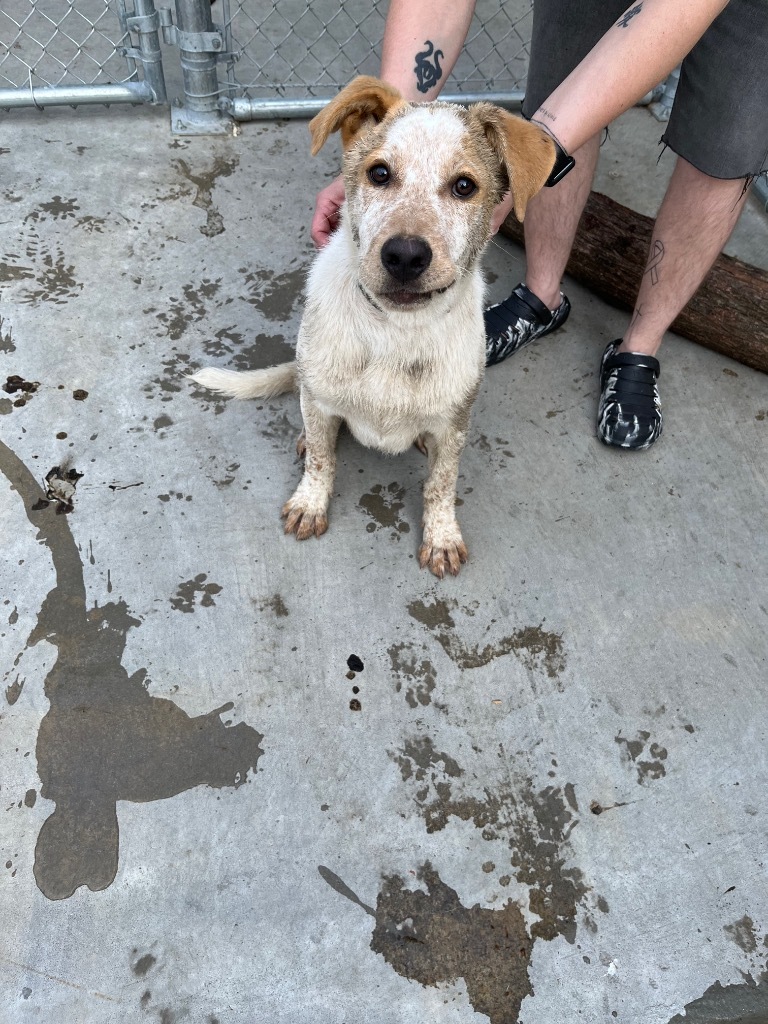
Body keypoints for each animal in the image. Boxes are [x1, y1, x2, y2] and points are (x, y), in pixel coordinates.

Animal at [190, 74, 557, 577]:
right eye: (380, 174)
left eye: (465, 186)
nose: (404, 255)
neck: (394, 330)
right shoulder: (320, 401)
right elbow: (322, 459)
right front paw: (310, 502)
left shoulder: (454, 424)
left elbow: (442, 483)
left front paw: (442, 537)